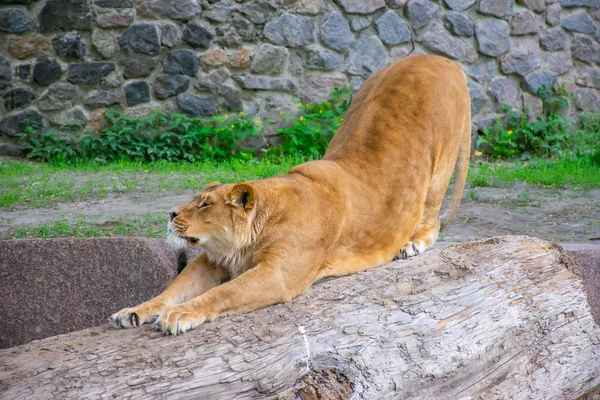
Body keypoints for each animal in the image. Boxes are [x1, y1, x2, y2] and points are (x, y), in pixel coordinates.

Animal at [110, 54, 472, 334]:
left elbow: (222, 294)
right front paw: (135, 310)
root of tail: (444, 60)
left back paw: (412, 244)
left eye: (205, 204)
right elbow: (173, 289)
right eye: (194, 199)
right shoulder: (212, 260)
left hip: (440, 165)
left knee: (431, 215)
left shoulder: (279, 275)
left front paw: (180, 314)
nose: (171, 213)